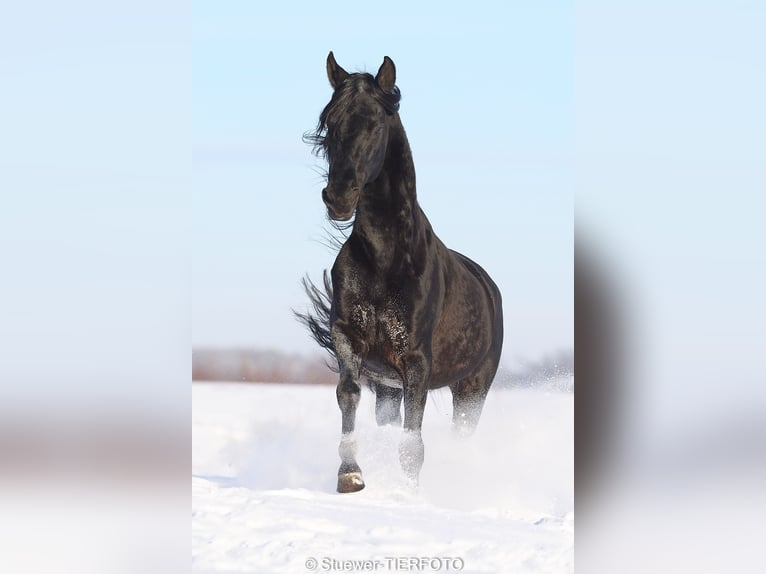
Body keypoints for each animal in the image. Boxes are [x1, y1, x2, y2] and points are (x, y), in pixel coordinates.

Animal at [298, 55, 504, 496]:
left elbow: (413, 438)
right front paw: (350, 475)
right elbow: (347, 393)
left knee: (462, 432)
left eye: (376, 122)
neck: (385, 259)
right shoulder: (351, 341)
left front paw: (408, 495)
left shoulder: (416, 361)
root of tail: (488, 284)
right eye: (330, 121)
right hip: (388, 390)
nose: (338, 197)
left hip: (473, 387)